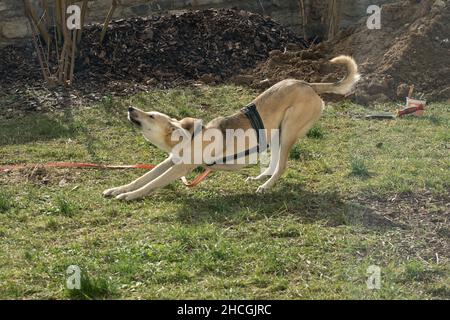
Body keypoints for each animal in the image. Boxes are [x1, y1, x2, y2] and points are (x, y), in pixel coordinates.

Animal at [103, 55, 358, 200]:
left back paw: (265, 187)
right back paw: (260, 179)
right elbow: (143, 178)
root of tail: (308, 84)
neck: (188, 139)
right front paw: (118, 189)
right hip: (275, 134)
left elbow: (151, 183)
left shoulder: (181, 167)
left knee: (282, 166)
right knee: (274, 163)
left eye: (151, 116)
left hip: (288, 131)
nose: (130, 108)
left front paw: (129, 196)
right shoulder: (170, 161)